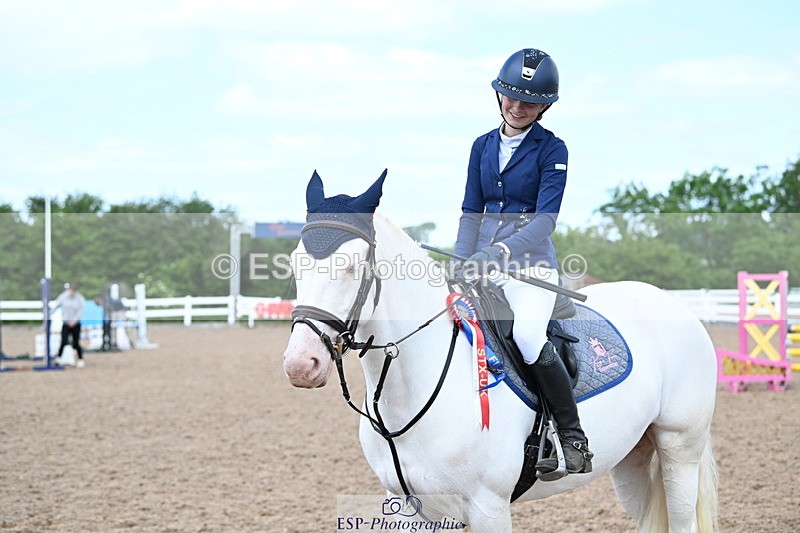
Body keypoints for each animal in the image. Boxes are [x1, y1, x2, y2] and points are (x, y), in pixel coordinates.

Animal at [283, 171, 719, 532]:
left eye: (354, 266)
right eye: (296, 263)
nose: (301, 365)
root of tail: (675, 304)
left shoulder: (487, 507)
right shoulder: (411, 508)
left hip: (679, 449)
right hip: (633, 458)